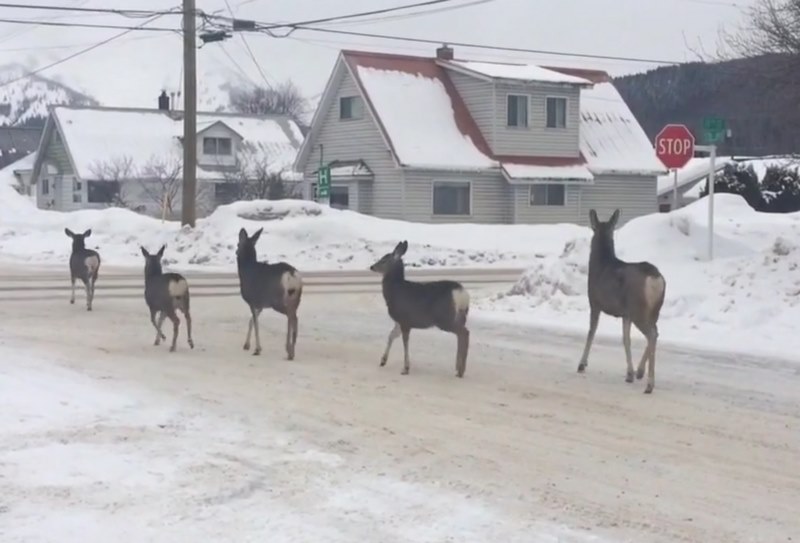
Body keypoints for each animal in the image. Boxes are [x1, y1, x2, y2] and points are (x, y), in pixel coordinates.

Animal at [238, 227, 304, 360]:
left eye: (238, 244)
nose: (236, 252)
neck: (245, 270)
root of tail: (291, 274)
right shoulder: (261, 304)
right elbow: (251, 321)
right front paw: (246, 345)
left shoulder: (252, 301)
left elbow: (256, 323)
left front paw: (257, 349)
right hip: (296, 297)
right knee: (294, 316)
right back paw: (292, 348)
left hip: (277, 300)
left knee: (291, 316)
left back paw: (289, 349)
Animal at [368, 241, 468, 378]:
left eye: (384, 259)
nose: (372, 267)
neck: (394, 291)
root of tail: (462, 295)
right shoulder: (399, 321)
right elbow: (391, 336)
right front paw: (383, 360)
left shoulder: (405, 320)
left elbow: (405, 342)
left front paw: (405, 368)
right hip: (459, 316)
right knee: (462, 334)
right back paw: (458, 368)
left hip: (444, 318)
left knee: (464, 333)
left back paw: (460, 371)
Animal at [580, 209, 664, 396]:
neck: (600, 265)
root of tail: (655, 278)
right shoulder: (625, 314)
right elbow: (626, 340)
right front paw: (629, 373)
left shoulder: (594, 303)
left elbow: (591, 332)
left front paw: (581, 364)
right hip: (652, 310)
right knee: (655, 332)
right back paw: (640, 372)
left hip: (639, 309)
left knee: (652, 334)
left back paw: (650, 384)